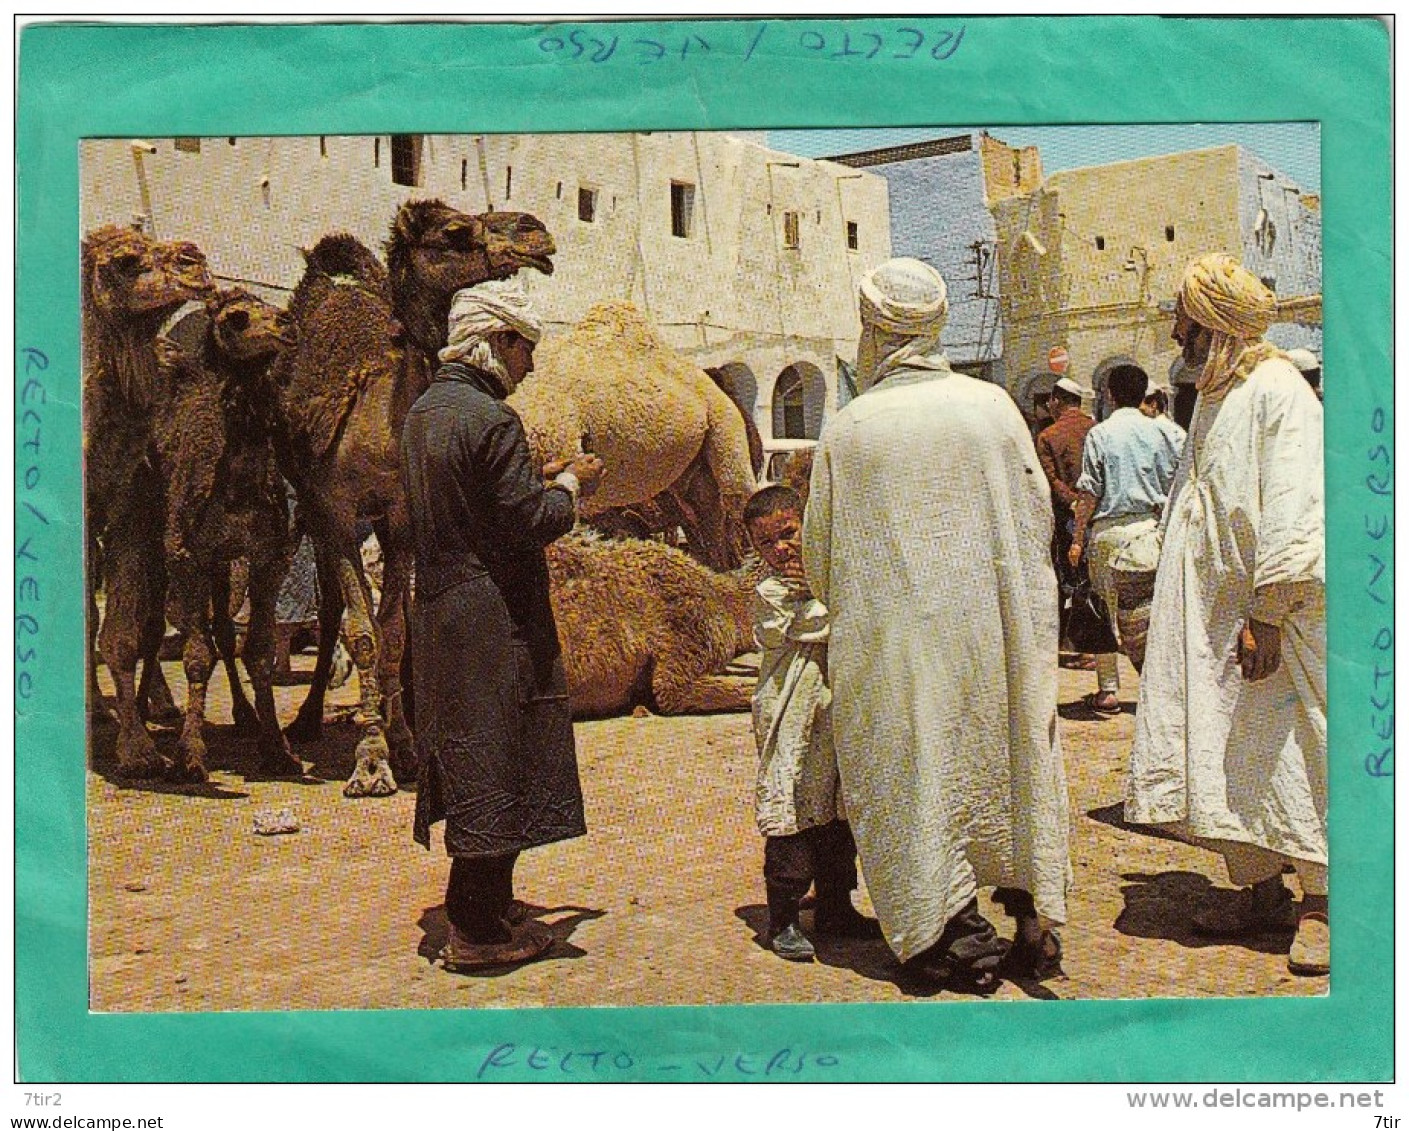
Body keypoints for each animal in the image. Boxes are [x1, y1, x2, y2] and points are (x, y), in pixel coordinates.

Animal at [152, 290, 304, 788]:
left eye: (270, 309)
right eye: (237, 318)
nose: (287, 324)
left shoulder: (266, 559)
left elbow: (255, 649)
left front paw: (279, 750)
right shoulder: (185, 556)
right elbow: (197, 654)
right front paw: (189, 757)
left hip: (223, 563)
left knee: (221, 629)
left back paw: (243, 715)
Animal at [271, 205, 557, 805]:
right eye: (454, 232)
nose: (535, 230)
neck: (379, 427)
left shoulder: (401, 516)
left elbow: (395, 631)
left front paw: (400, 747)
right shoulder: (334, 513)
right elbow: (363, 633)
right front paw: (369, 763)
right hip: (314, 510)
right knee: (329, 609)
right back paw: (306, 719)